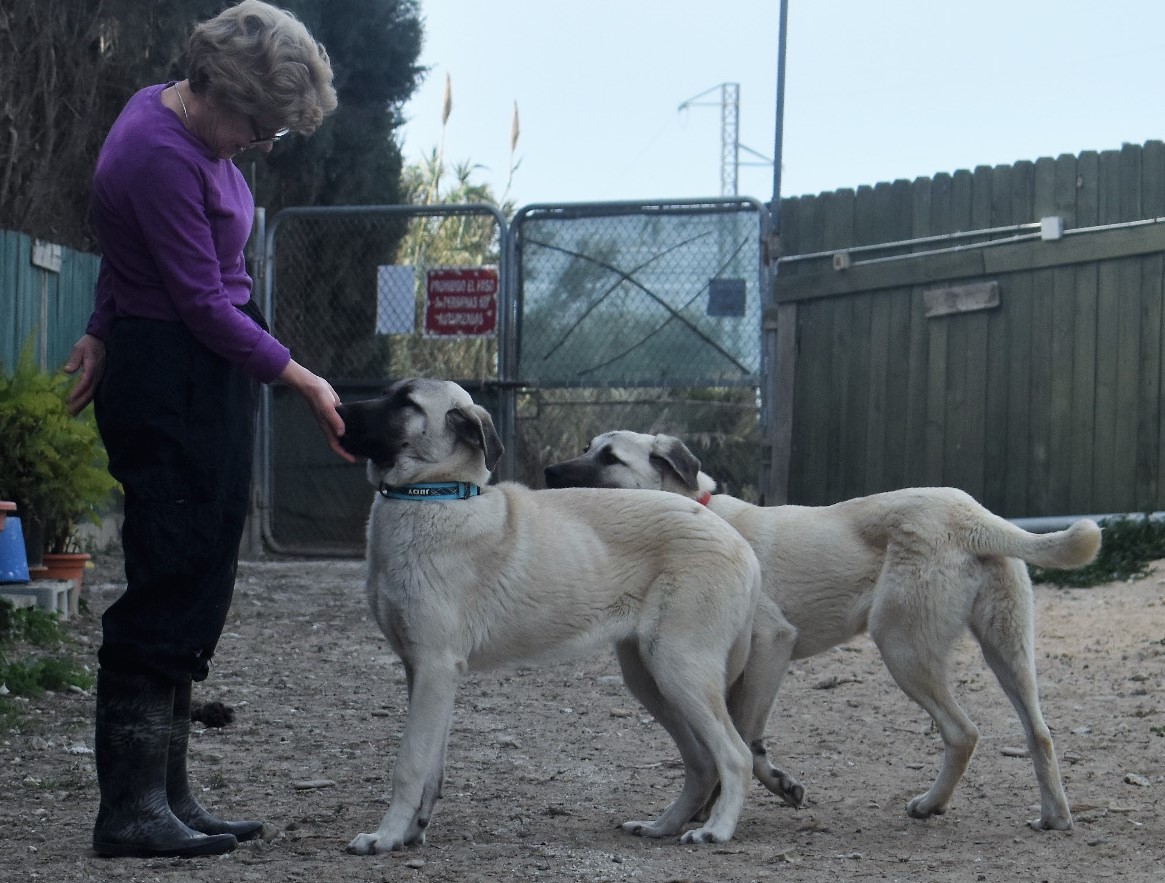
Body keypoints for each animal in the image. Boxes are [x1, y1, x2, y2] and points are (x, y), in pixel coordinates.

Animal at [545, 433, 1099, 834]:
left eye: (609, 457)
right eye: (588, 446)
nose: (548, 472)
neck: (694, 509)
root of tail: (970, 515)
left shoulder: (771, 643)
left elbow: (742, 738)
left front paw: (738, 800)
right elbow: (736, 741)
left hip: (901, 648)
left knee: (963, 732)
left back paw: (931, 805)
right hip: (1008, 650)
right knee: (1039, 733)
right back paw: (1055, 818)